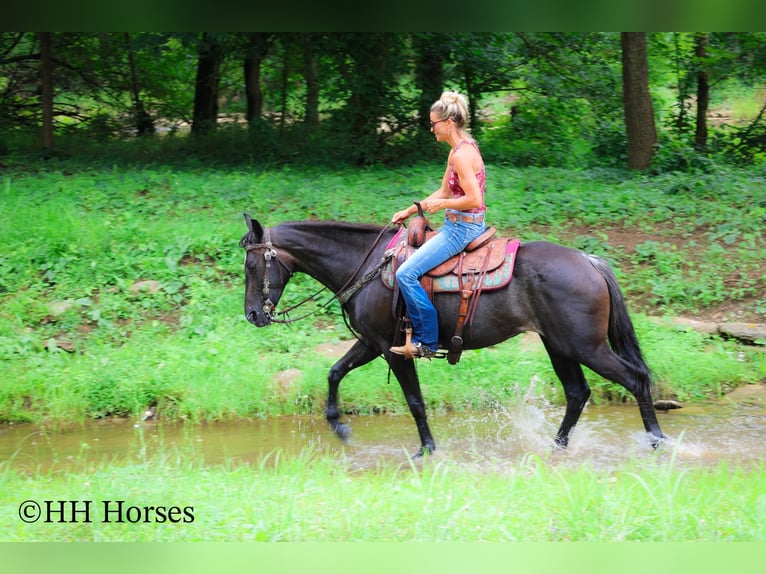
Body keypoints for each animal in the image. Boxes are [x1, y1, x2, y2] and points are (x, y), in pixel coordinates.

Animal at [240, 214, 666, 457]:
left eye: (251, 266)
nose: (252, 314)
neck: (366, 264)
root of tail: (589, 261)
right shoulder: (372, 343)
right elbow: (334, 372)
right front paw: (339, 426)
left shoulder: (394, 349)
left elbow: (414, 401)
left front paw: (426, 449)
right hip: (559, 346)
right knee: (577, 393)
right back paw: (555, 447)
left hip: (586, 346)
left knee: (635, 379)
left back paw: (658, 441)